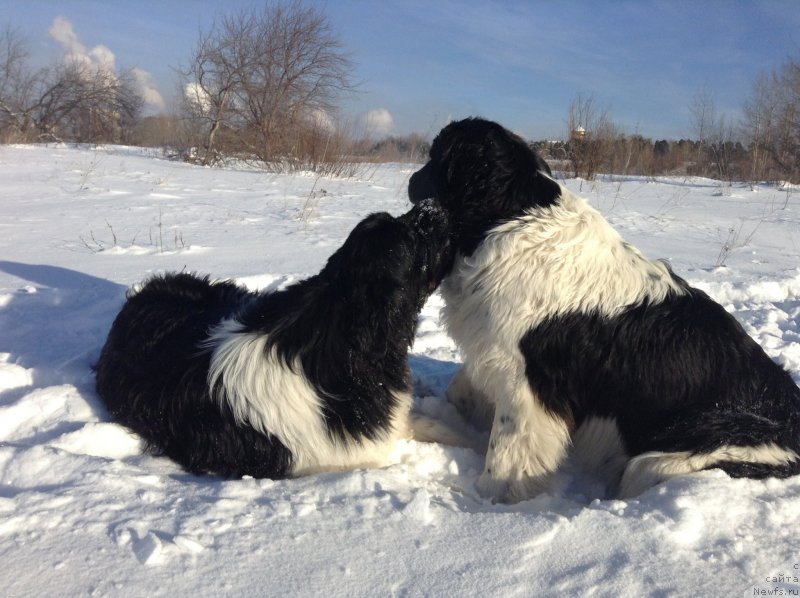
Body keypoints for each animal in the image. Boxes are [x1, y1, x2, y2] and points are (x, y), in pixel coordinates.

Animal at [410, 117, 800, 502]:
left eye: (437, 157)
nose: (412, 180)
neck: (509, 220)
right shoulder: (494, 356)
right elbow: (460, 392)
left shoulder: (527, 386)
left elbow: (506, 456)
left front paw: (486, 505)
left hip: (670, 459)